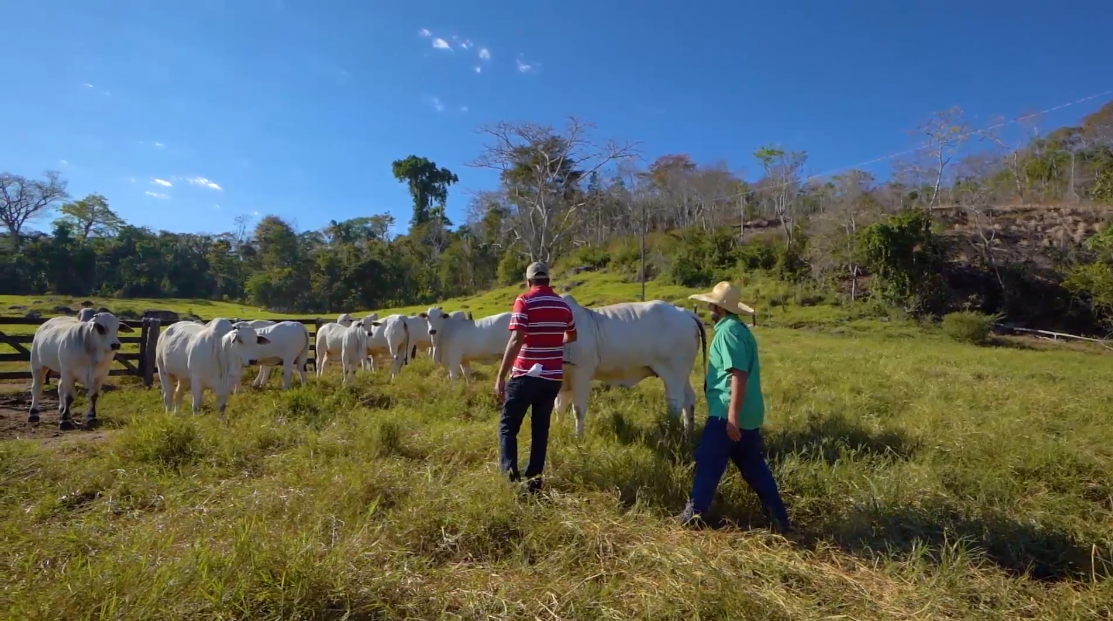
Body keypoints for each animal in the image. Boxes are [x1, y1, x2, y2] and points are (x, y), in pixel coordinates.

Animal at [556, 296, 703, 438]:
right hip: (683, 373)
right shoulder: (564, 379)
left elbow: (578, 410)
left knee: (675, 401)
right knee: (688, 399)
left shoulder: (581, 372)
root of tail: (686, 313)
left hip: (673, 372)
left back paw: (671, 432)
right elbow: (559, 407)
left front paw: (578, 438)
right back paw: (688, 432)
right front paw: (559, 432)